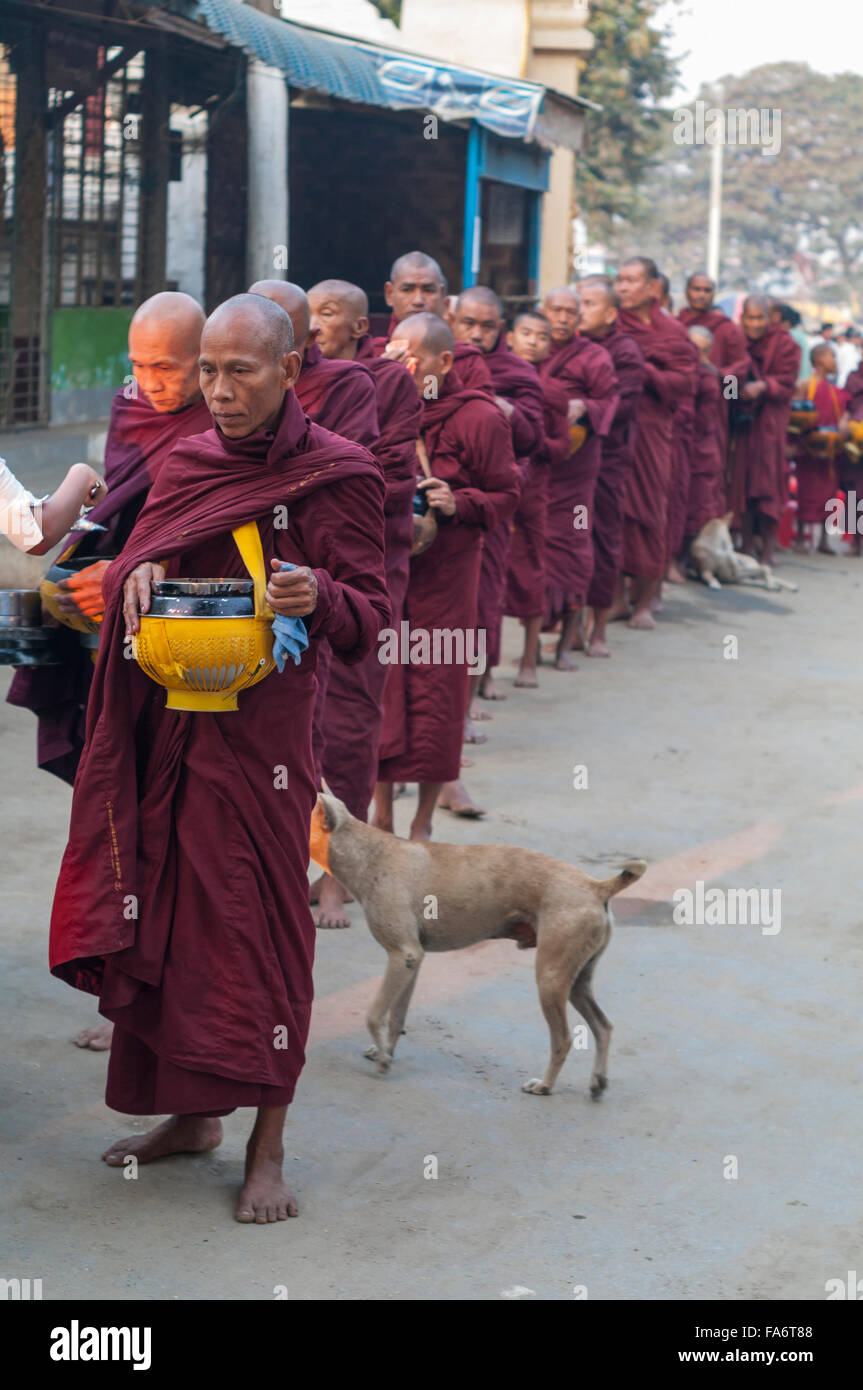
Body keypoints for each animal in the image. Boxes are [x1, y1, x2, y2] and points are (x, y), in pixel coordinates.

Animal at [311, 795, 644, 1095]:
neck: (369, 852)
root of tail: (595, 887)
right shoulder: (410, 961)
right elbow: (395, 1017)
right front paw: (387, 1051)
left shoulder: (402, 954)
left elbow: (373, 1014)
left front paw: (383, 1060)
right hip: (576, 982)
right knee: (603, 1026)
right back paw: (598, 1081)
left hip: (550, 979)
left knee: (563, 1039)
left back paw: (545, 1085)